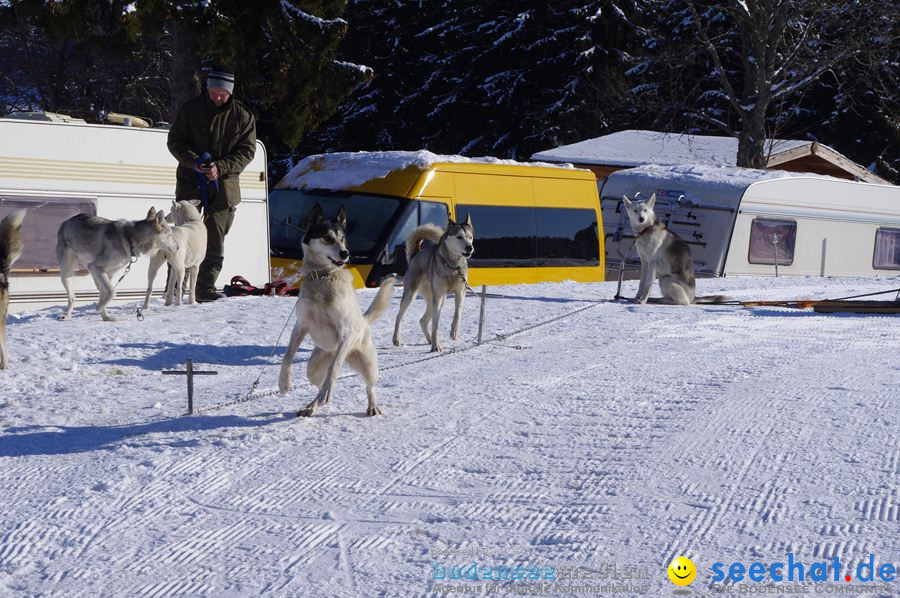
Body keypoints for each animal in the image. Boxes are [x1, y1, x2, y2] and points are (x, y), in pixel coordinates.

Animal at [280, 204, 396, 420]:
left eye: (342, 238)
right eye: (327, 238)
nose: (345, 253)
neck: (322, 277)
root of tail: (364, 321)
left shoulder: (346, 333)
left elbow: (334, 370)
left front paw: (326, 392)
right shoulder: (301, 325)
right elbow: (287, 356)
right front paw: (284, 383)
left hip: (367, 364)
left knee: (368, 386)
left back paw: (371, 406)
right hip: (314, 366)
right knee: (319, 383)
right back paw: (312, 406)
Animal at [396, 216, 478, 354]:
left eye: (470, 237)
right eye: (459, 237)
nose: (470, 247)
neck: (453, 267)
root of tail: (416, 254)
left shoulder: (460, 292)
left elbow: (458, 313)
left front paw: (453, 332)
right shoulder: (438, 298)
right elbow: (436, 325)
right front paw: (436, 346)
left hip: (436, 299)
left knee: (423, 320)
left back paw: (429, 339)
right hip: (411, 296)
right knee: (399, 316)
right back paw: (396, 339)